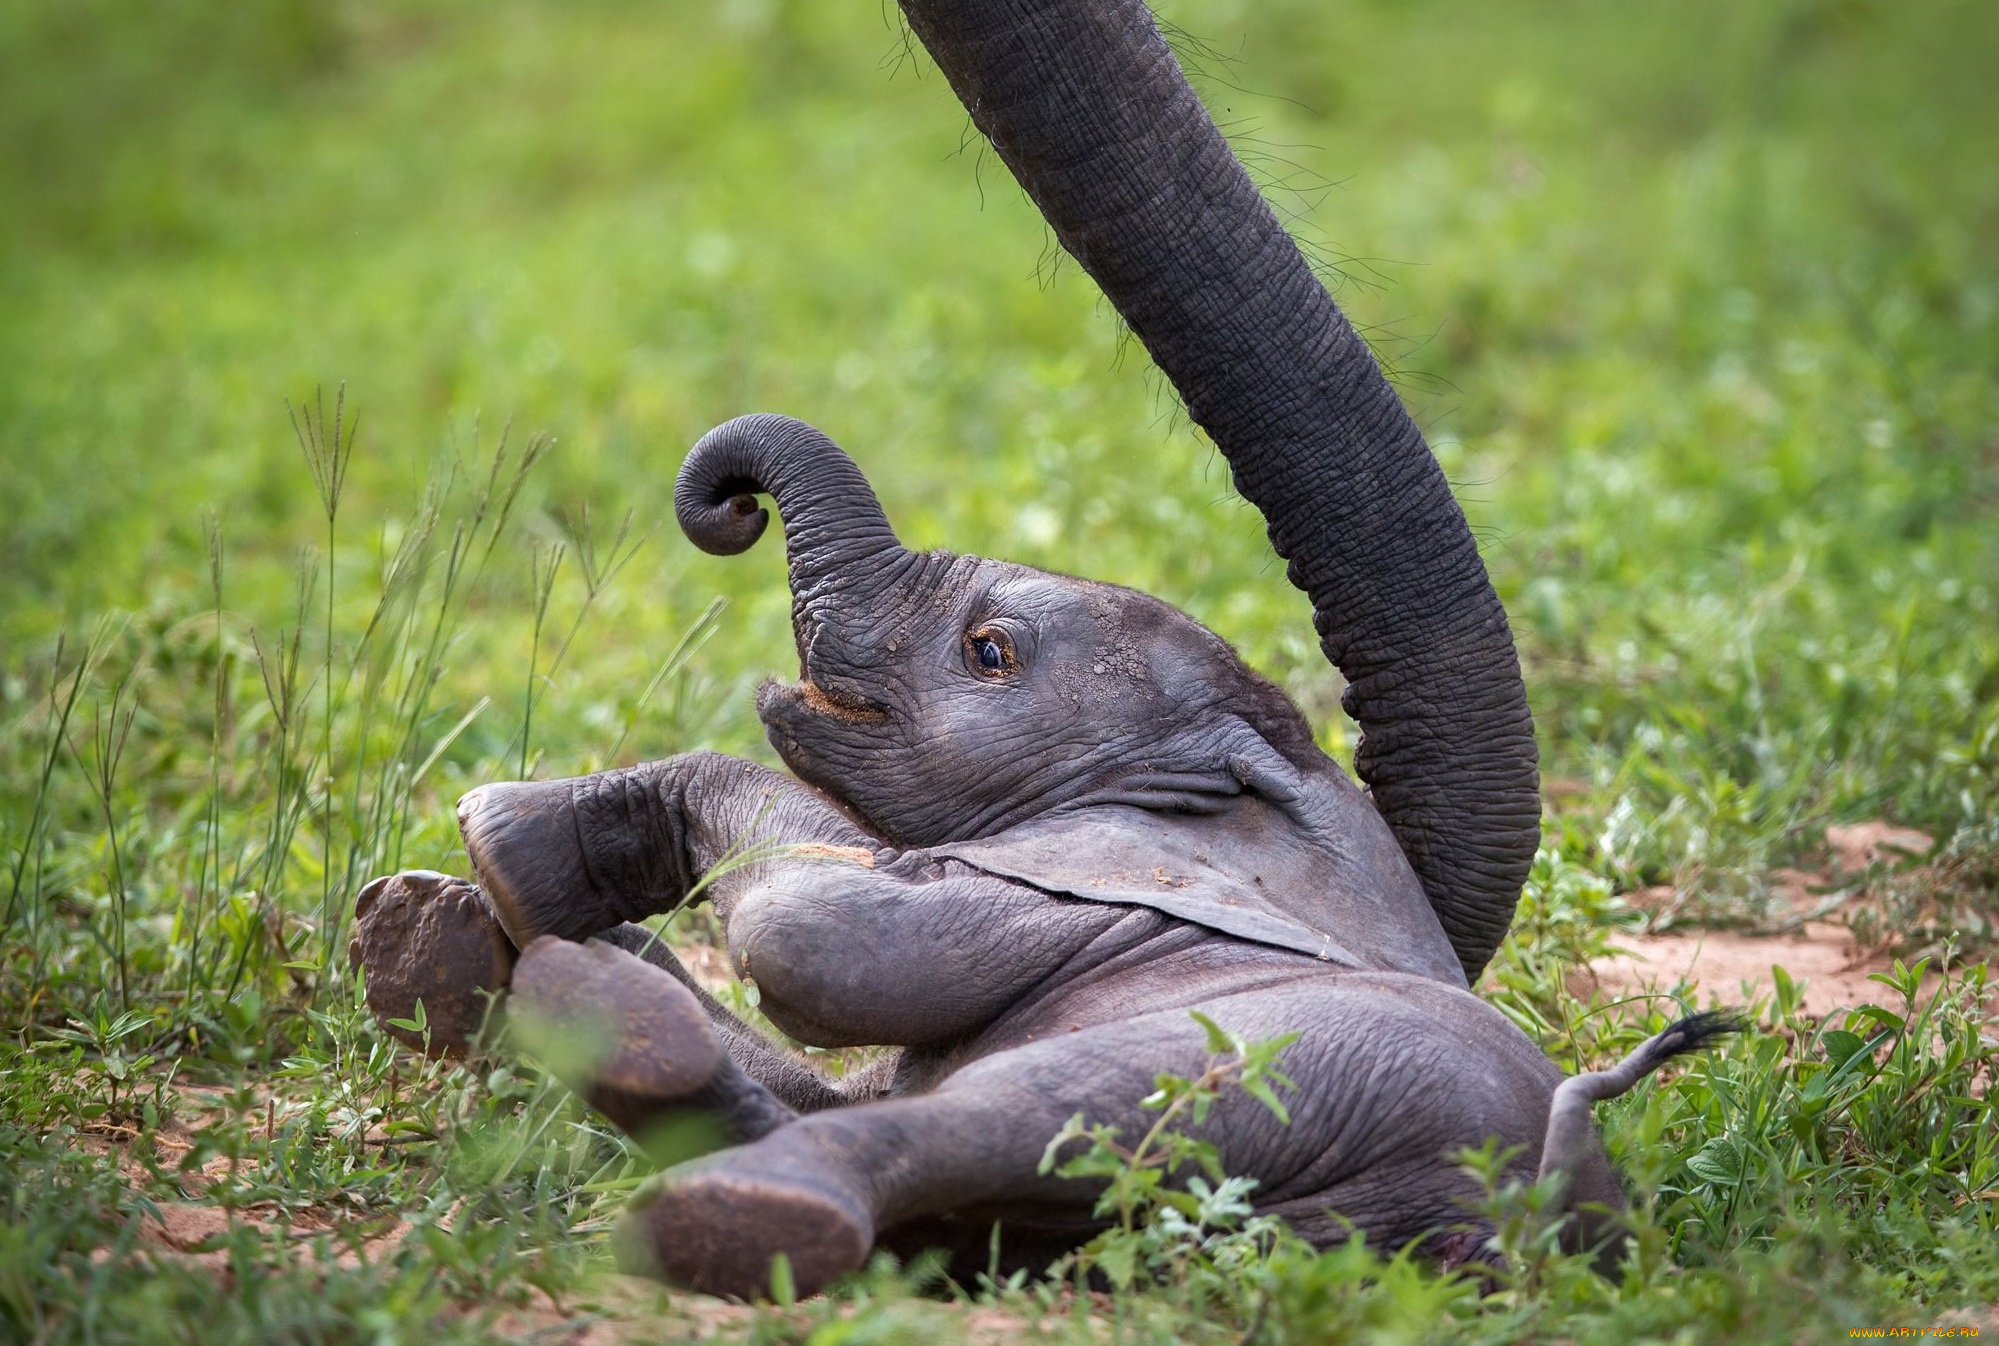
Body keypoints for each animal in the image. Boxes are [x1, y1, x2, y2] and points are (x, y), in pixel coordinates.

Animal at [349, 0, 1740, 1302]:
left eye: (989, 651)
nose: (727, 501)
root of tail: (1520, 1206)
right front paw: (449, 908)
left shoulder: (1091, 879)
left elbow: (832, 931)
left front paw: (503, 844)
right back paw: (493, 980)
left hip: (1305, 1063)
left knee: (1020, 1108)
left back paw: (715, 1189)